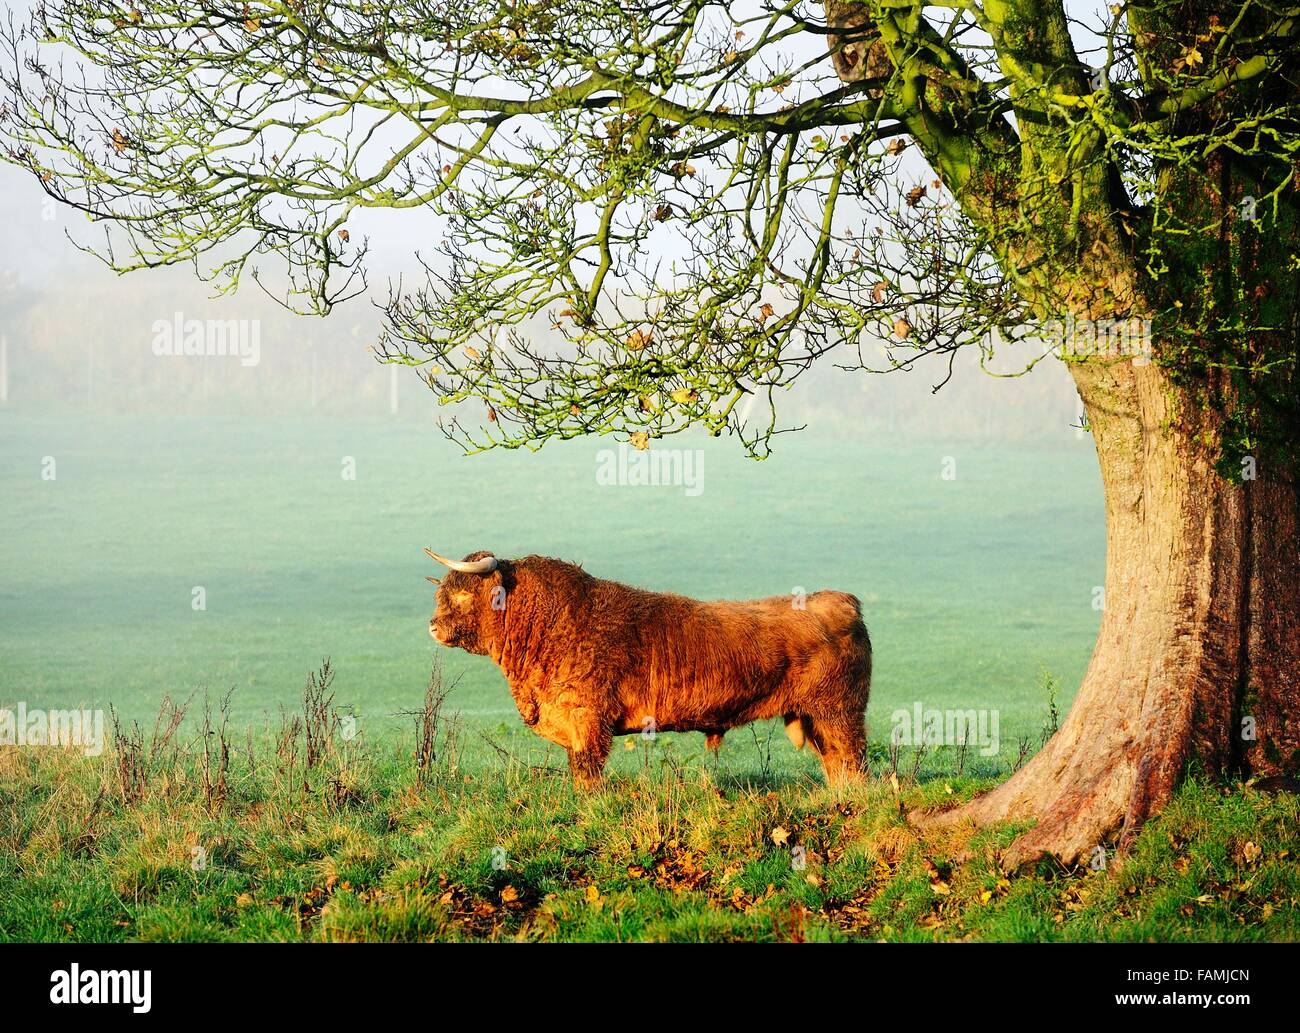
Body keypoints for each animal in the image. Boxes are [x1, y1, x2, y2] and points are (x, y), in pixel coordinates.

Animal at [425, 548, 872, 789]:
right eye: (441, 593)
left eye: (462, 597)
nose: (432, 626)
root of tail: (843, 600)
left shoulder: (589, 720)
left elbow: (586, 775)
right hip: (815, 717)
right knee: (835, 763)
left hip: (839, 712)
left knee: (852, 760)